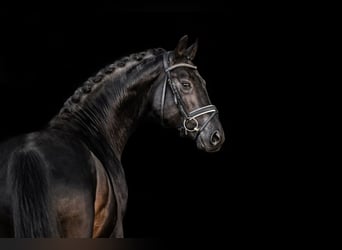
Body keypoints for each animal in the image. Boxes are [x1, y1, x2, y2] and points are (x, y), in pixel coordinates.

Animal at [0, 34, 224, 237]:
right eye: (186, 84)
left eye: (203, 82)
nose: (216, 136)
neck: (91, 128)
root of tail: (28, 152)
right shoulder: (115, 230)